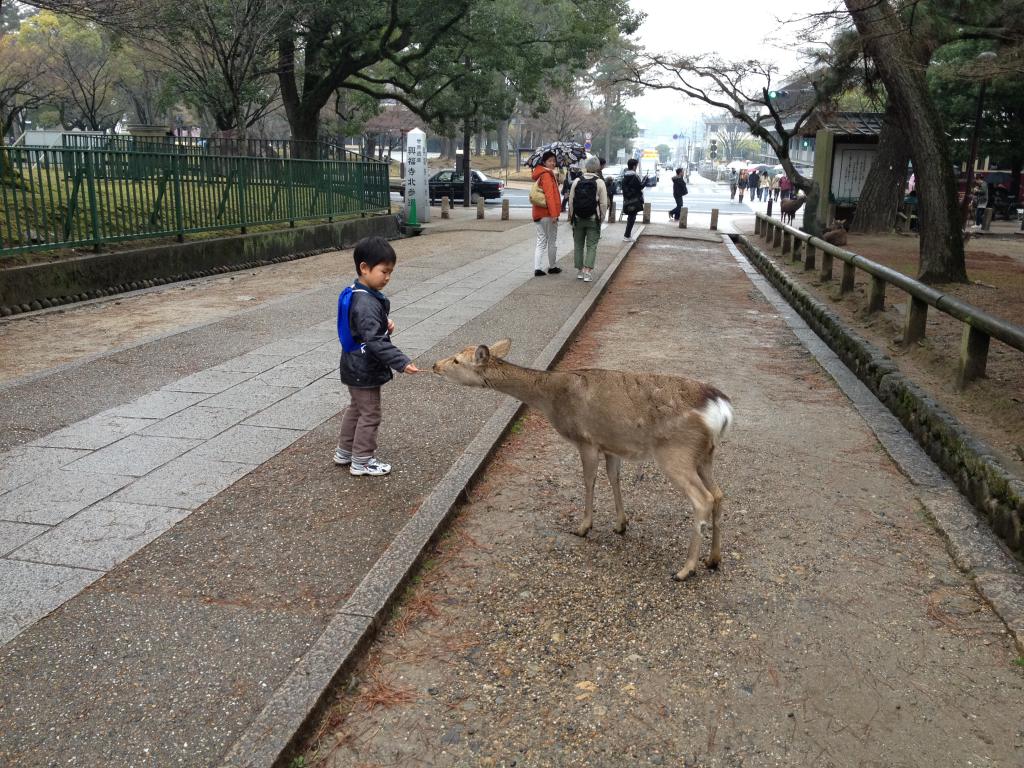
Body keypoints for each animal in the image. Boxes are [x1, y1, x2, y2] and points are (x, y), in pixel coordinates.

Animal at [432, 339, 737, 581]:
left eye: (457, 359)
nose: (435, 365)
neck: (551, 399)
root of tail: (721, 410)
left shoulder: (586, 439)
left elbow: (589, 480)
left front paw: (583, 527)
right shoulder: (611, 443)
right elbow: (614, 478)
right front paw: (621, 524)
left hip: (676, 452)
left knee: (703, 499)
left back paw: (685, 569)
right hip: (705, 454)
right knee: (719, 494)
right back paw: (713, 560)